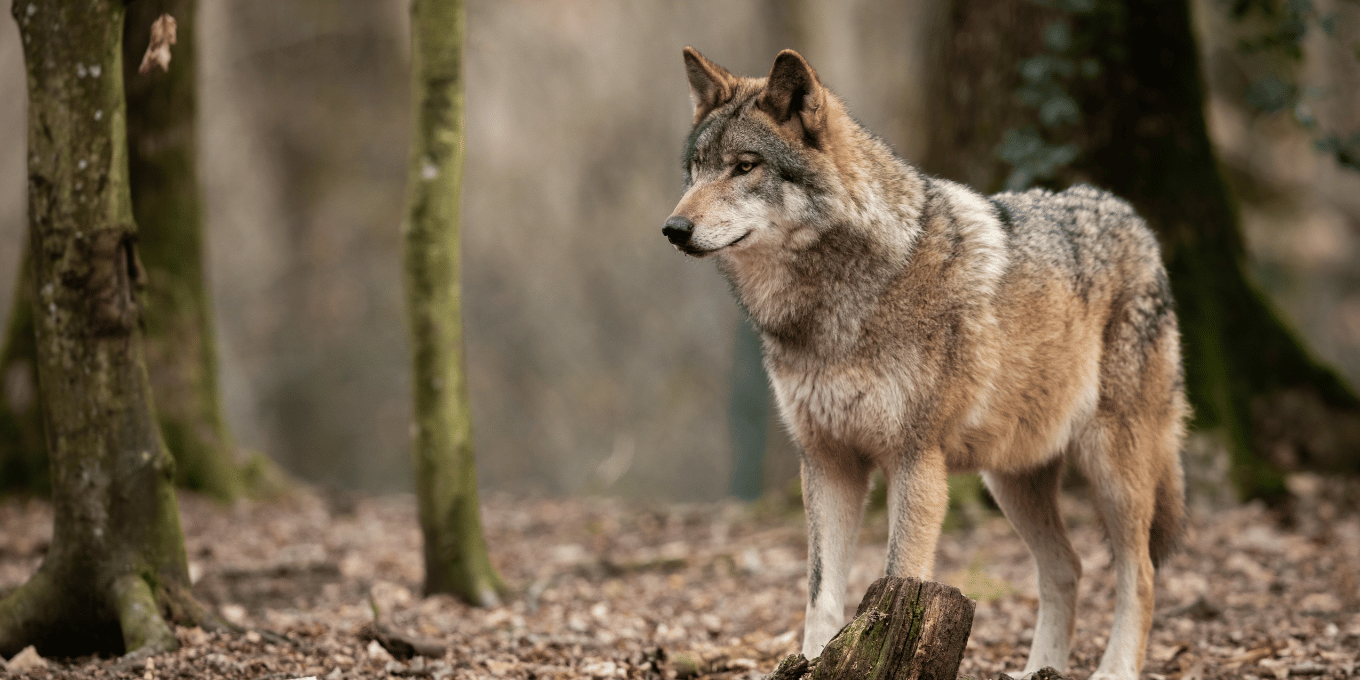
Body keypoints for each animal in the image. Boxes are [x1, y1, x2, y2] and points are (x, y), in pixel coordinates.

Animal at [663, 49, 1185, 680]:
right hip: (1011, 479)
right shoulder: (827, 461)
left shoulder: (915, 460)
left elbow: (896, 578)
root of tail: (1133, 218)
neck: (834, 306)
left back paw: (1114, 669)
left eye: (744, 167)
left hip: (1113, 468)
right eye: (696, 169)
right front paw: (812, 660)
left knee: (1142, 575)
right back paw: (1041, 669)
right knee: (1068, 568)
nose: (674, 229)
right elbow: (820, 593)